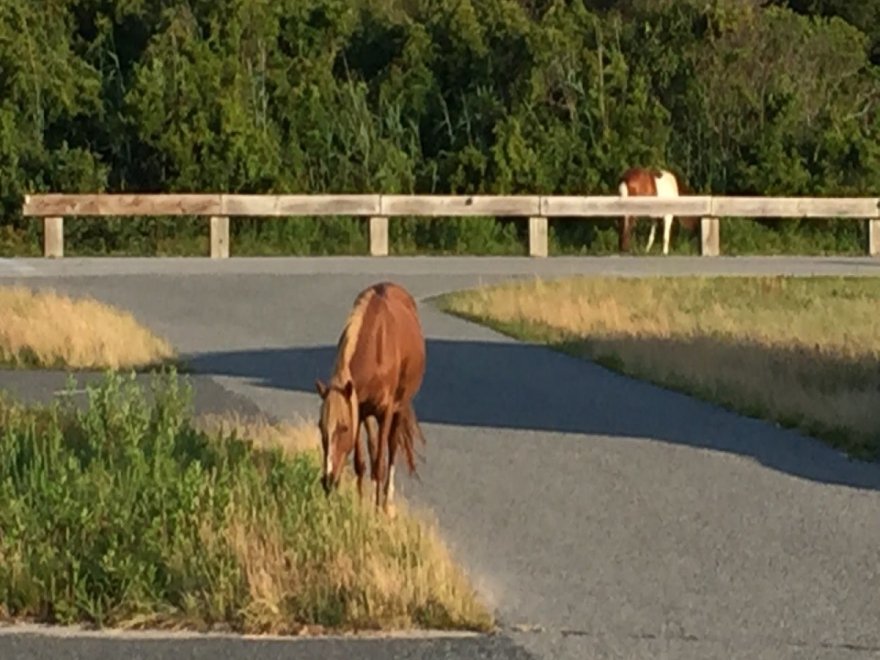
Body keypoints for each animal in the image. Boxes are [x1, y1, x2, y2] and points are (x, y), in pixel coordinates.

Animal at [314, 280, 428, 516]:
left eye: (343, 428)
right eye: (321, 427)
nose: (328, 481)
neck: (375, 348)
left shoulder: (384, 412)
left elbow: (379, 462)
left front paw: (377, 511)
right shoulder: (357, 409)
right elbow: (361, 463)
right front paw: (359, 506)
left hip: (400, 406)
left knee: (391, 449)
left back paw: (387, 502)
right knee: (373, 447)